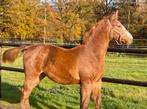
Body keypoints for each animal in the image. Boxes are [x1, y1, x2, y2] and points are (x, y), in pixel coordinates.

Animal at [2, 11, 133, 109]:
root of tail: (29, 47)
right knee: (24, 94)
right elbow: (84, 104)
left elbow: (98, 103)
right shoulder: (86, 83)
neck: (92, 53)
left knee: (26, 96)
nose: (130, 39)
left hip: (38, 77)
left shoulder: (97, 83)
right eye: (119, 25)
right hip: (31, 76)